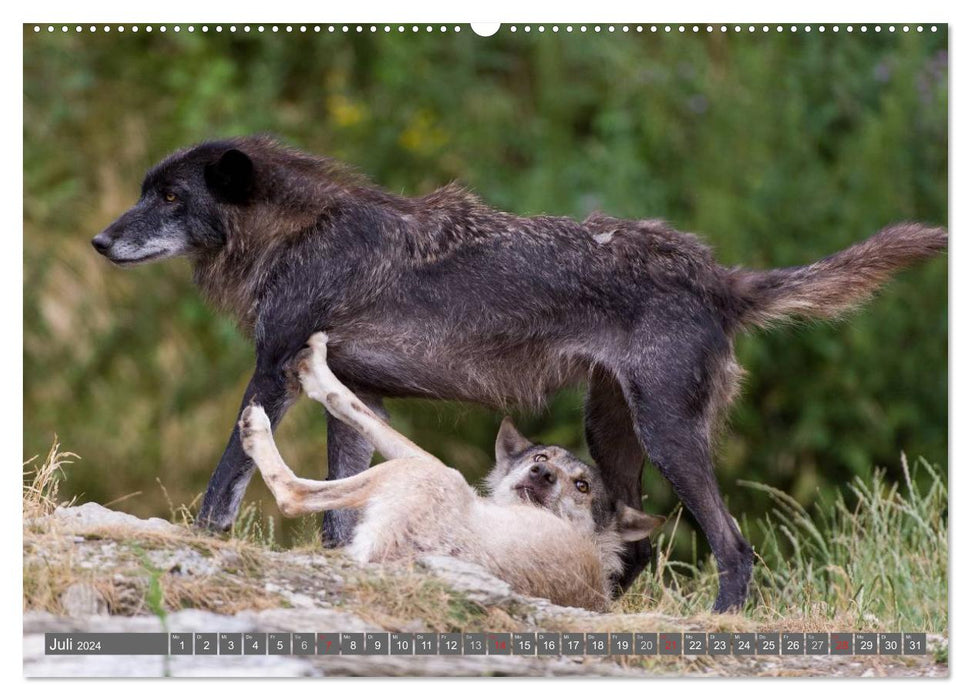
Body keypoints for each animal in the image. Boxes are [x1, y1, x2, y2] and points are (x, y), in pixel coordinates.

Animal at [93, 137, 948, 612]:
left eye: (170, 195)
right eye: (143, 190)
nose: (99, 243)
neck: (297, 234)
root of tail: (717, 277)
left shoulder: (272, 371)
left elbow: (224, 480)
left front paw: (201, 537)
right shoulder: (356, 397)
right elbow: (338, 506)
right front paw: (347, 563)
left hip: (666, 436)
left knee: (732, 545)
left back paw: (720, 620)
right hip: (612, 436)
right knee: (630, 543)